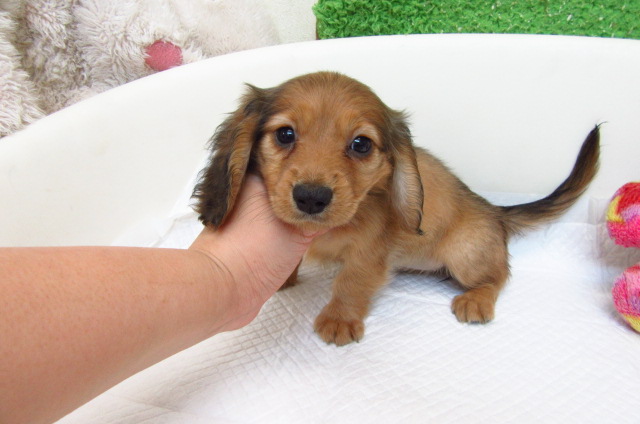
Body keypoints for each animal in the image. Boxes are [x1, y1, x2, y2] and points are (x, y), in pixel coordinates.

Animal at [193, 71, 600, 346]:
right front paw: (283, 278)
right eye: (285, 134)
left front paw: (339, 320)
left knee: (499, 275)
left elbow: (351, 283)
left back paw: (477, 299)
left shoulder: (369, 253)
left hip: (466, 254)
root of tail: (495, 211)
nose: (311, 197)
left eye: (360, 144)